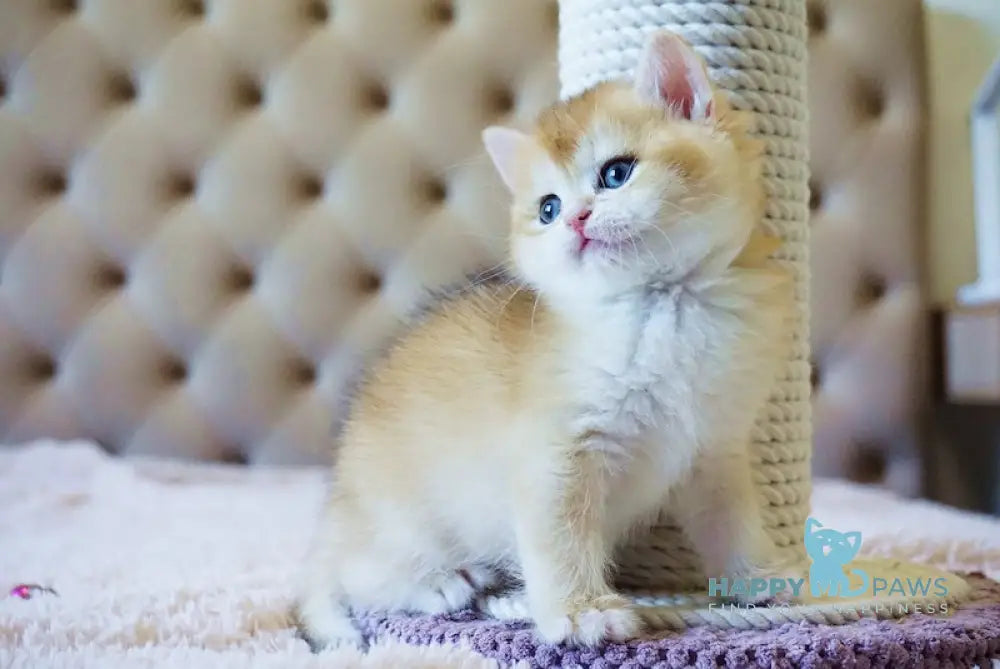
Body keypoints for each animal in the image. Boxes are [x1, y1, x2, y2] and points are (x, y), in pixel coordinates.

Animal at [292, 28, 792, 648]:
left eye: (615, 174)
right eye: (548, 209)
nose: (575, 220)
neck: (662, 307)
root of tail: (337, 505)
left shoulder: (713, 449)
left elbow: (732, 520)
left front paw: (764, 577)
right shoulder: (556, 454)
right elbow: (561, 540)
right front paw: (581, 611)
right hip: (402, 519)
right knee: (355, 575)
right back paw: (442, 583)